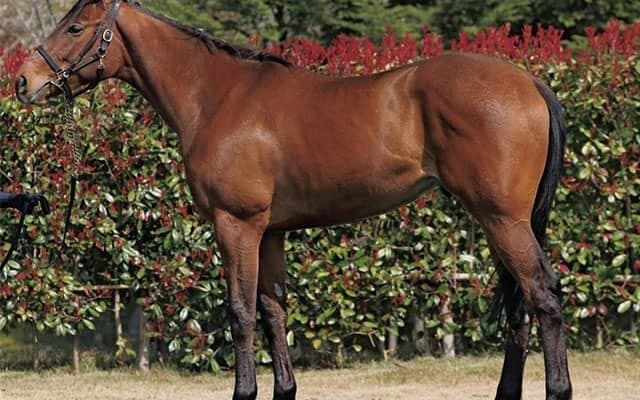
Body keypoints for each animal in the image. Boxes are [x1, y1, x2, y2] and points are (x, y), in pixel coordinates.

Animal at [15, 1, 571, 399]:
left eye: (74, 28)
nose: (23, 81)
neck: (215, 97)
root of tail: (529, 81)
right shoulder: (271, 233)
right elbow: (273, 312)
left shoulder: (236, 224)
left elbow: (241, 313)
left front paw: (243, 392)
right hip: (500, 221)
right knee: (522, 304)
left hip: (503, 219)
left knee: (542, 295)